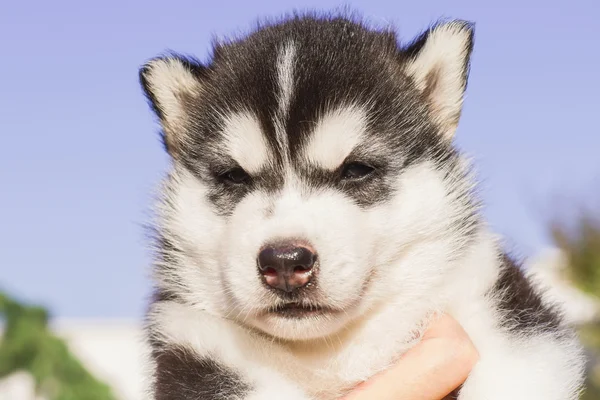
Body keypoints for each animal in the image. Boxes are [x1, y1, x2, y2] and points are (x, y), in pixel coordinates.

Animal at [138, 11, 584, 400]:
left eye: (355, 170)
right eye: (234, 177)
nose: (284, 260)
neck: (331, 350)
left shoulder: (505, 308)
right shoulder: (194, 343)